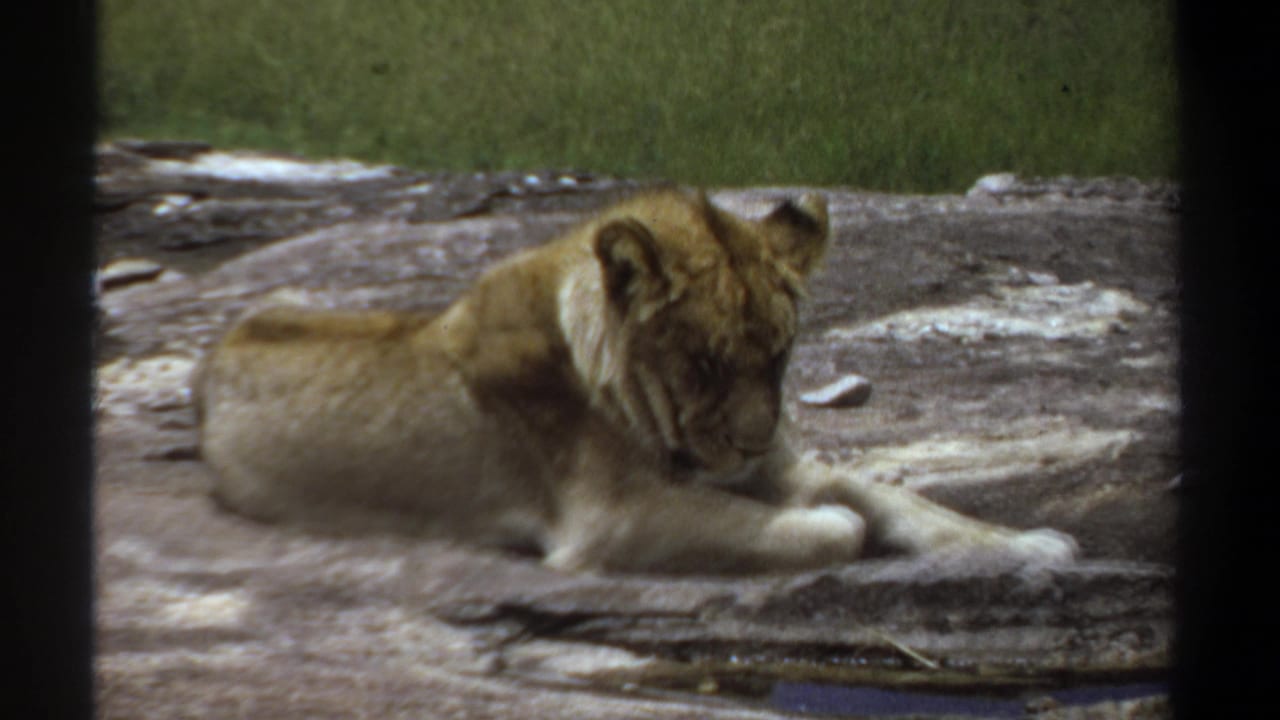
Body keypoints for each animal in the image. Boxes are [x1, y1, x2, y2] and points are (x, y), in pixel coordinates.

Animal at [196, 189, 1077, 574]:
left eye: (779, 357)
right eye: (705, 363)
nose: (751, 442)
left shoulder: (775, 465)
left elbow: (901, 500)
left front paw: (1029, 543)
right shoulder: (612, 518)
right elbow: (832, 524)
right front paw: (831, 526)